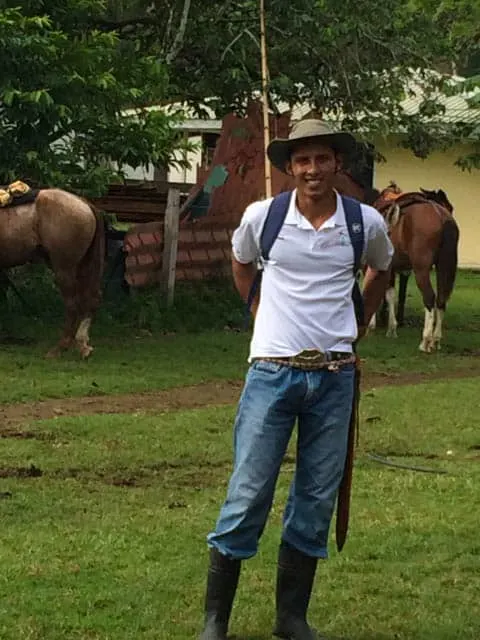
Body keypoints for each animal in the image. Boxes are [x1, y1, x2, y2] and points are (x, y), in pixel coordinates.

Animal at [0, 182, 105, 358]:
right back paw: (82, 345)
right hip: (83, 266)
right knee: (90, 299)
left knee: (72, 305)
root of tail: (83, 203)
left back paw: (60, 348)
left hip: (64, 269)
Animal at [332, 172, 460, 352]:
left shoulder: (371, 265)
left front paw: (372, 324)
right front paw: (391, 328)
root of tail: (441, 216)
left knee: (429, 297)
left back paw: (426, 340)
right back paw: (436, 340)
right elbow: (390, 293)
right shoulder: (390, 267)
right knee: (442, 300)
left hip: (421, 268)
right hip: (444, 266)